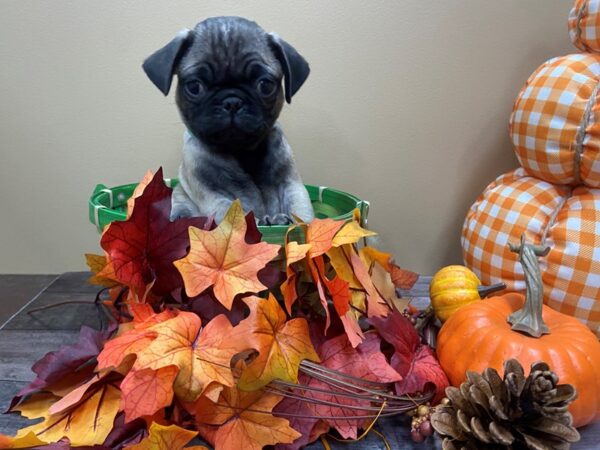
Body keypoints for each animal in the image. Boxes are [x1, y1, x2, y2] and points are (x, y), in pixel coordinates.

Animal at [144, 17, 316, 225]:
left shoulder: (291, 185)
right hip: (180, 196)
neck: (241, 151)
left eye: (265, 85)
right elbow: (232, 210)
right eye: (194, 87)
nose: (232, 101)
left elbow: (300, 211)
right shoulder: (213, 194)